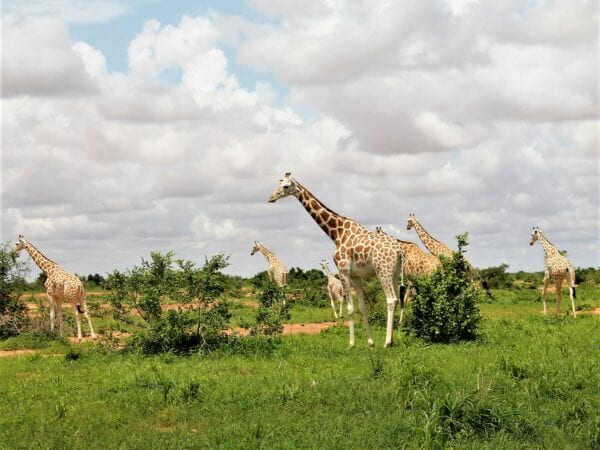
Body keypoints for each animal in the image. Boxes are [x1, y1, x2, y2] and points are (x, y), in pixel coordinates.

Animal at [270, 172, 406, 348]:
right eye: (278, 183)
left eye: (286, 186)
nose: (271, 198)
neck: (336, 233)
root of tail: (399, 251)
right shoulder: (356, 276)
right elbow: (362, 307)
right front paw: (370, 343)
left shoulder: (343, 271)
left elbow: (349, 308)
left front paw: (351, 344)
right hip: (395, 273)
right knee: (396, 300)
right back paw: (392, 340)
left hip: (383, 270)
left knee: (391, 299)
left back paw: (387, 343)